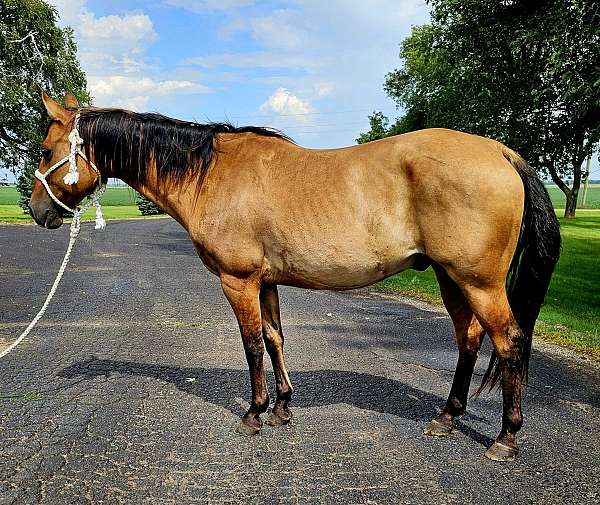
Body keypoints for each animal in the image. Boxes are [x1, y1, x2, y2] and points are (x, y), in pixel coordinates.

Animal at [30, 93, 560, 460]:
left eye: (46, 149)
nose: (37, 212)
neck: (210, 173)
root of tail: (500, 152)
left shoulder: (238, 280)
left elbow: (250, 344)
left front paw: (254, 413)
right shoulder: (265, 281)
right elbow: (273, 338)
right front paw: (283, 406)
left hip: (479, 283)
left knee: (508, 341)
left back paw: (506, 437)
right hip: (452, 279)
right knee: (469, 339)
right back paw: (447, 417)